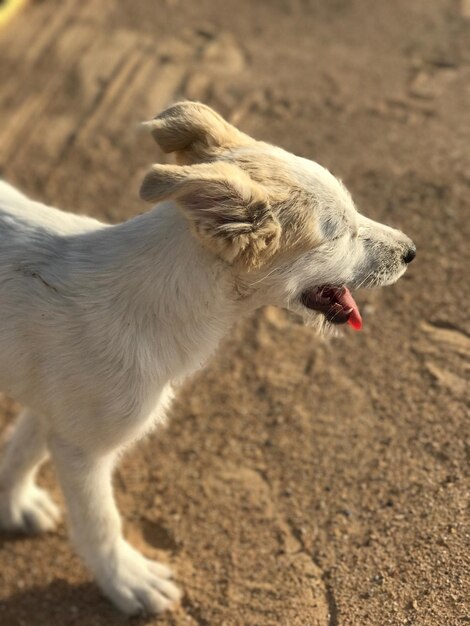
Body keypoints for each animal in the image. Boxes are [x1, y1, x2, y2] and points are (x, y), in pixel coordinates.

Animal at [0, 100, 414, 612]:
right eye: (339, 235)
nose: (412, 252)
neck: (151, 300)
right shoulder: (84, 448)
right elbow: (100, 523)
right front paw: (126, 581)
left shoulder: (54, 411)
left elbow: (21, 450)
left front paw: (13, 504)